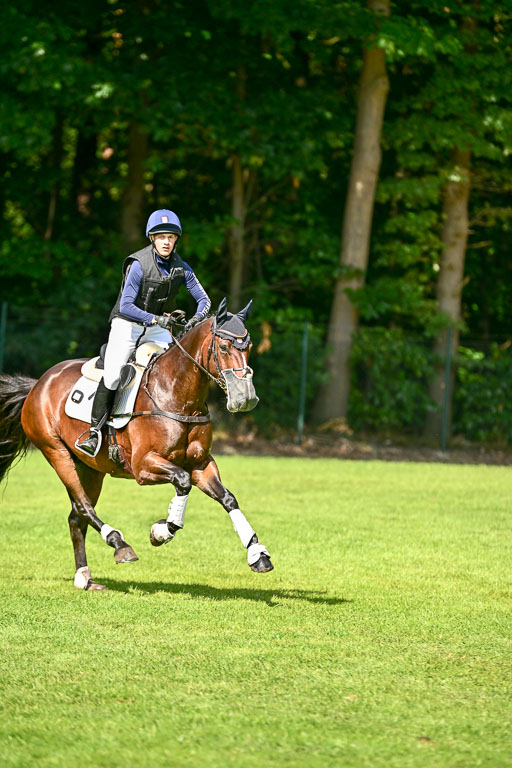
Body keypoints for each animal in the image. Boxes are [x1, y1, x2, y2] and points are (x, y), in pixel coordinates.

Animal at [0, 298, 273, 590]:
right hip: (56, 452)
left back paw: (85, 577)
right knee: (83, 506)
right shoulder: (143, 466)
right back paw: (119, 545)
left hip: (90, 468)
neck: (176, 394)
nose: (246, 399)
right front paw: (161, 531)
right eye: (223, 347)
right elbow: (183, 481)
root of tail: (38, 384)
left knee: (77, 516)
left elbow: (227, 498)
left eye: (249, 347)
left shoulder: (201, 463)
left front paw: (257, 554)